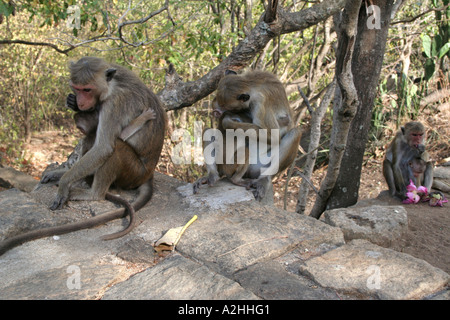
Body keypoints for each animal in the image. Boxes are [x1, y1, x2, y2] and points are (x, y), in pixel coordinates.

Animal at [0, 56, 166, 256]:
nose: (80, 101)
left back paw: (93, 194)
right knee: (93, 139)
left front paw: (64, 182)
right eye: (77, 88)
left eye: (87, 89)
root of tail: (149, 173)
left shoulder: (114, 104)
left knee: (115, 148)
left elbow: (103, 147)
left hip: (134, 173)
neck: (111, 86)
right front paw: (59, 173)